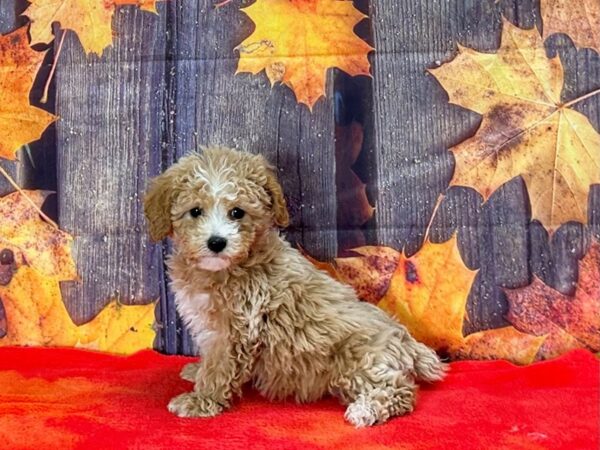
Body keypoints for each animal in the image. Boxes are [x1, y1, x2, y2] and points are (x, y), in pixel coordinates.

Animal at [144, 146, 446, 428]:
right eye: (195, 211)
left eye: (237, 212)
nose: (217, 242)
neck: (227, 268)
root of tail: (406, 341)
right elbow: (210, 362)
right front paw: (197, 372)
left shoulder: (235, 330)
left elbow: (219, 369)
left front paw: (200, 401)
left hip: (359, 361)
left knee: (402, 391)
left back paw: (366, 410)